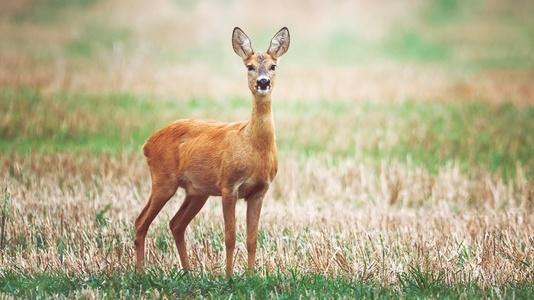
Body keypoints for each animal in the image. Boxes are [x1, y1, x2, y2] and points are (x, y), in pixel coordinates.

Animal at [136, 27, 292, 276]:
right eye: (249, 66)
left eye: (273, 66)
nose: (263, 82)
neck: (254, 147)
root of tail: (147, 144)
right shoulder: (229, 185)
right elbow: (230, 236)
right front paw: (229, 276)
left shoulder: (259, 191)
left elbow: (252, 239)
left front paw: (251, 276)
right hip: (163, 179)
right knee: (141, 222)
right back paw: (140, 273)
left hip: (197, 191)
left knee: (175, 224)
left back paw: (188, 273)